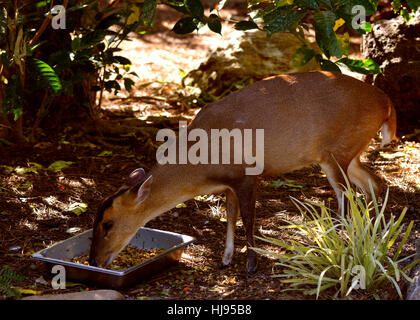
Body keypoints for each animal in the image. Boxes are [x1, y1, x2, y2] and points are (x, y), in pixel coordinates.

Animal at [88, 71, 398, 274]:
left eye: (108, 224)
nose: (93, 261)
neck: (201, 167)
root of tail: (387, 104)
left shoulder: (247, 175)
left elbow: (247, 220)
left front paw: (251, 263)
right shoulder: (229, 184)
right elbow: (230, 217)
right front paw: (225, 258)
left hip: (338, 151)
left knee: (346, 193)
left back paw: (341, 237)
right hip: (349, 151)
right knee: (374, 182)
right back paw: (374, 232)